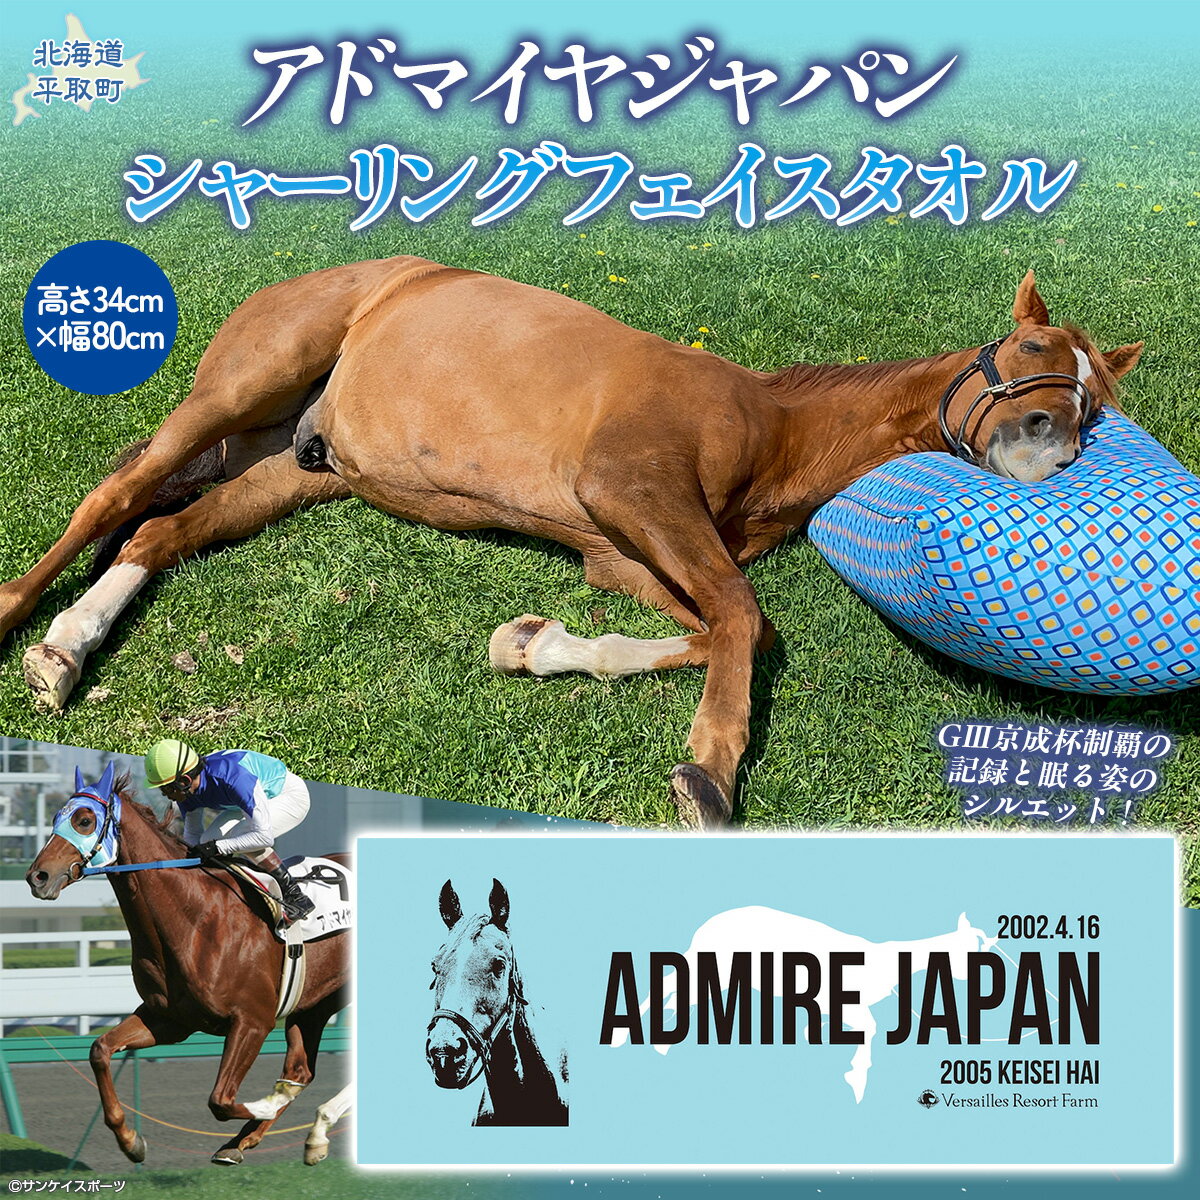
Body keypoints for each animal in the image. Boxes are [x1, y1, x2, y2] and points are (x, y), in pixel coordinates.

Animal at [0, 264, 1142, 825]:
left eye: (1097, 399)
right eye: (1026, 348)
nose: (1049, 449)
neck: (768, 424)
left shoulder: (626, 551)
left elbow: (720, 629)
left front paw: (535, 645)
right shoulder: (632, 493)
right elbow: (745, 622)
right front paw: (710, 773)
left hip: (297, 464)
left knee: (165, 526)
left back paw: (69, 645)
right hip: (244, 388)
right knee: (116, 494)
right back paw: (30, 626)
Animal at [24, 763, 350, 1166]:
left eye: (84, 820)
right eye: (55, 817)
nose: (37, 876)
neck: (195, 918)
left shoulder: (253, 1020)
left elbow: (221, 1099)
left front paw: (266, 1103)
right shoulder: (170, 1018)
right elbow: (99, 1049)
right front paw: (130, 1141)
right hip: (317, 1003)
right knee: (300, 1070)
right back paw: (272, 1138)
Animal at [611, 908, 995, 1103]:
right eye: (973, 948)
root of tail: (707, 925)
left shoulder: (830, 1005)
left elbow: (829, 1030)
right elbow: (868, 1030)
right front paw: (856, 1080)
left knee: (680, 993)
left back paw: (660, 1045)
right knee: (669, 985)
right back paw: (625, 1037)